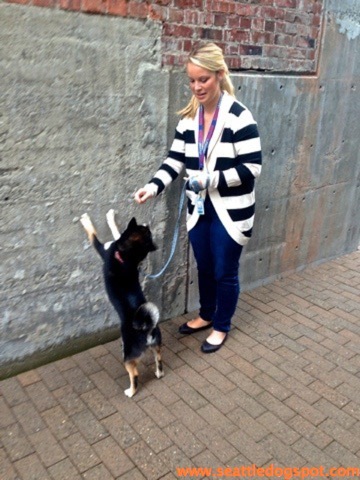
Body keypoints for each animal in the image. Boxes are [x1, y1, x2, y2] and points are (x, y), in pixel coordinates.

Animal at [80, 210, 165, 398]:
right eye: (146, 231)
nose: (147, 223)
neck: (126, 255)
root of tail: (146, 327)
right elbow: (115, 232)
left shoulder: (102, 247)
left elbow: (95, 233)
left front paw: (89, 220)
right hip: (156, 345)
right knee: (159, 359)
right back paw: (158, 373)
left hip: (127, 355)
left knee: (135, 374)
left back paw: (131, 392)